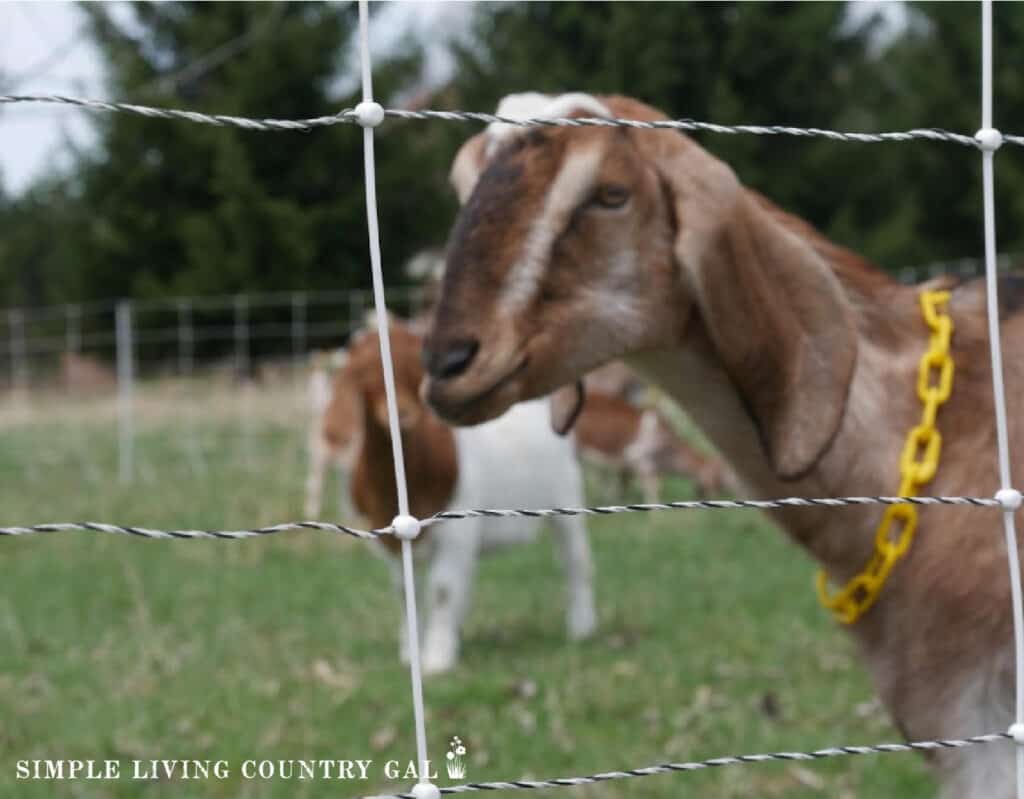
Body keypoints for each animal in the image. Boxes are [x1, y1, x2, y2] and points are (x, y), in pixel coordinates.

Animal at [346, 317, 598, 676]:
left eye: (414, 370)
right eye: (363, 373)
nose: (403, 414)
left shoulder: (456, 528)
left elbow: (442, 590)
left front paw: (437, 659)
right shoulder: (392, 538)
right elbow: (406, 592)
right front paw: (411, 653)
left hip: (566, 497)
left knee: (576, 559)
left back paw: (582, 627)